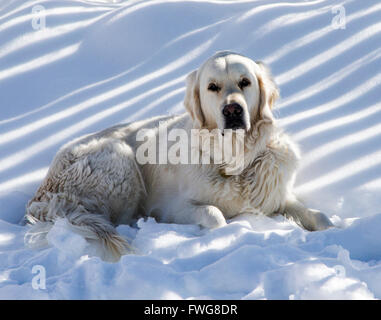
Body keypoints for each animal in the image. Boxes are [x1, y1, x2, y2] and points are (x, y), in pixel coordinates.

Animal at [24, 51, 332, 262]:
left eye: (245, 82)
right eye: (212, 87)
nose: (233, 110)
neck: (234, 159)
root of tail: (42, 193)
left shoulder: (275, 195)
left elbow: (319, 216)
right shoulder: (171, 208)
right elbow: (214, 214)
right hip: (121, 162)